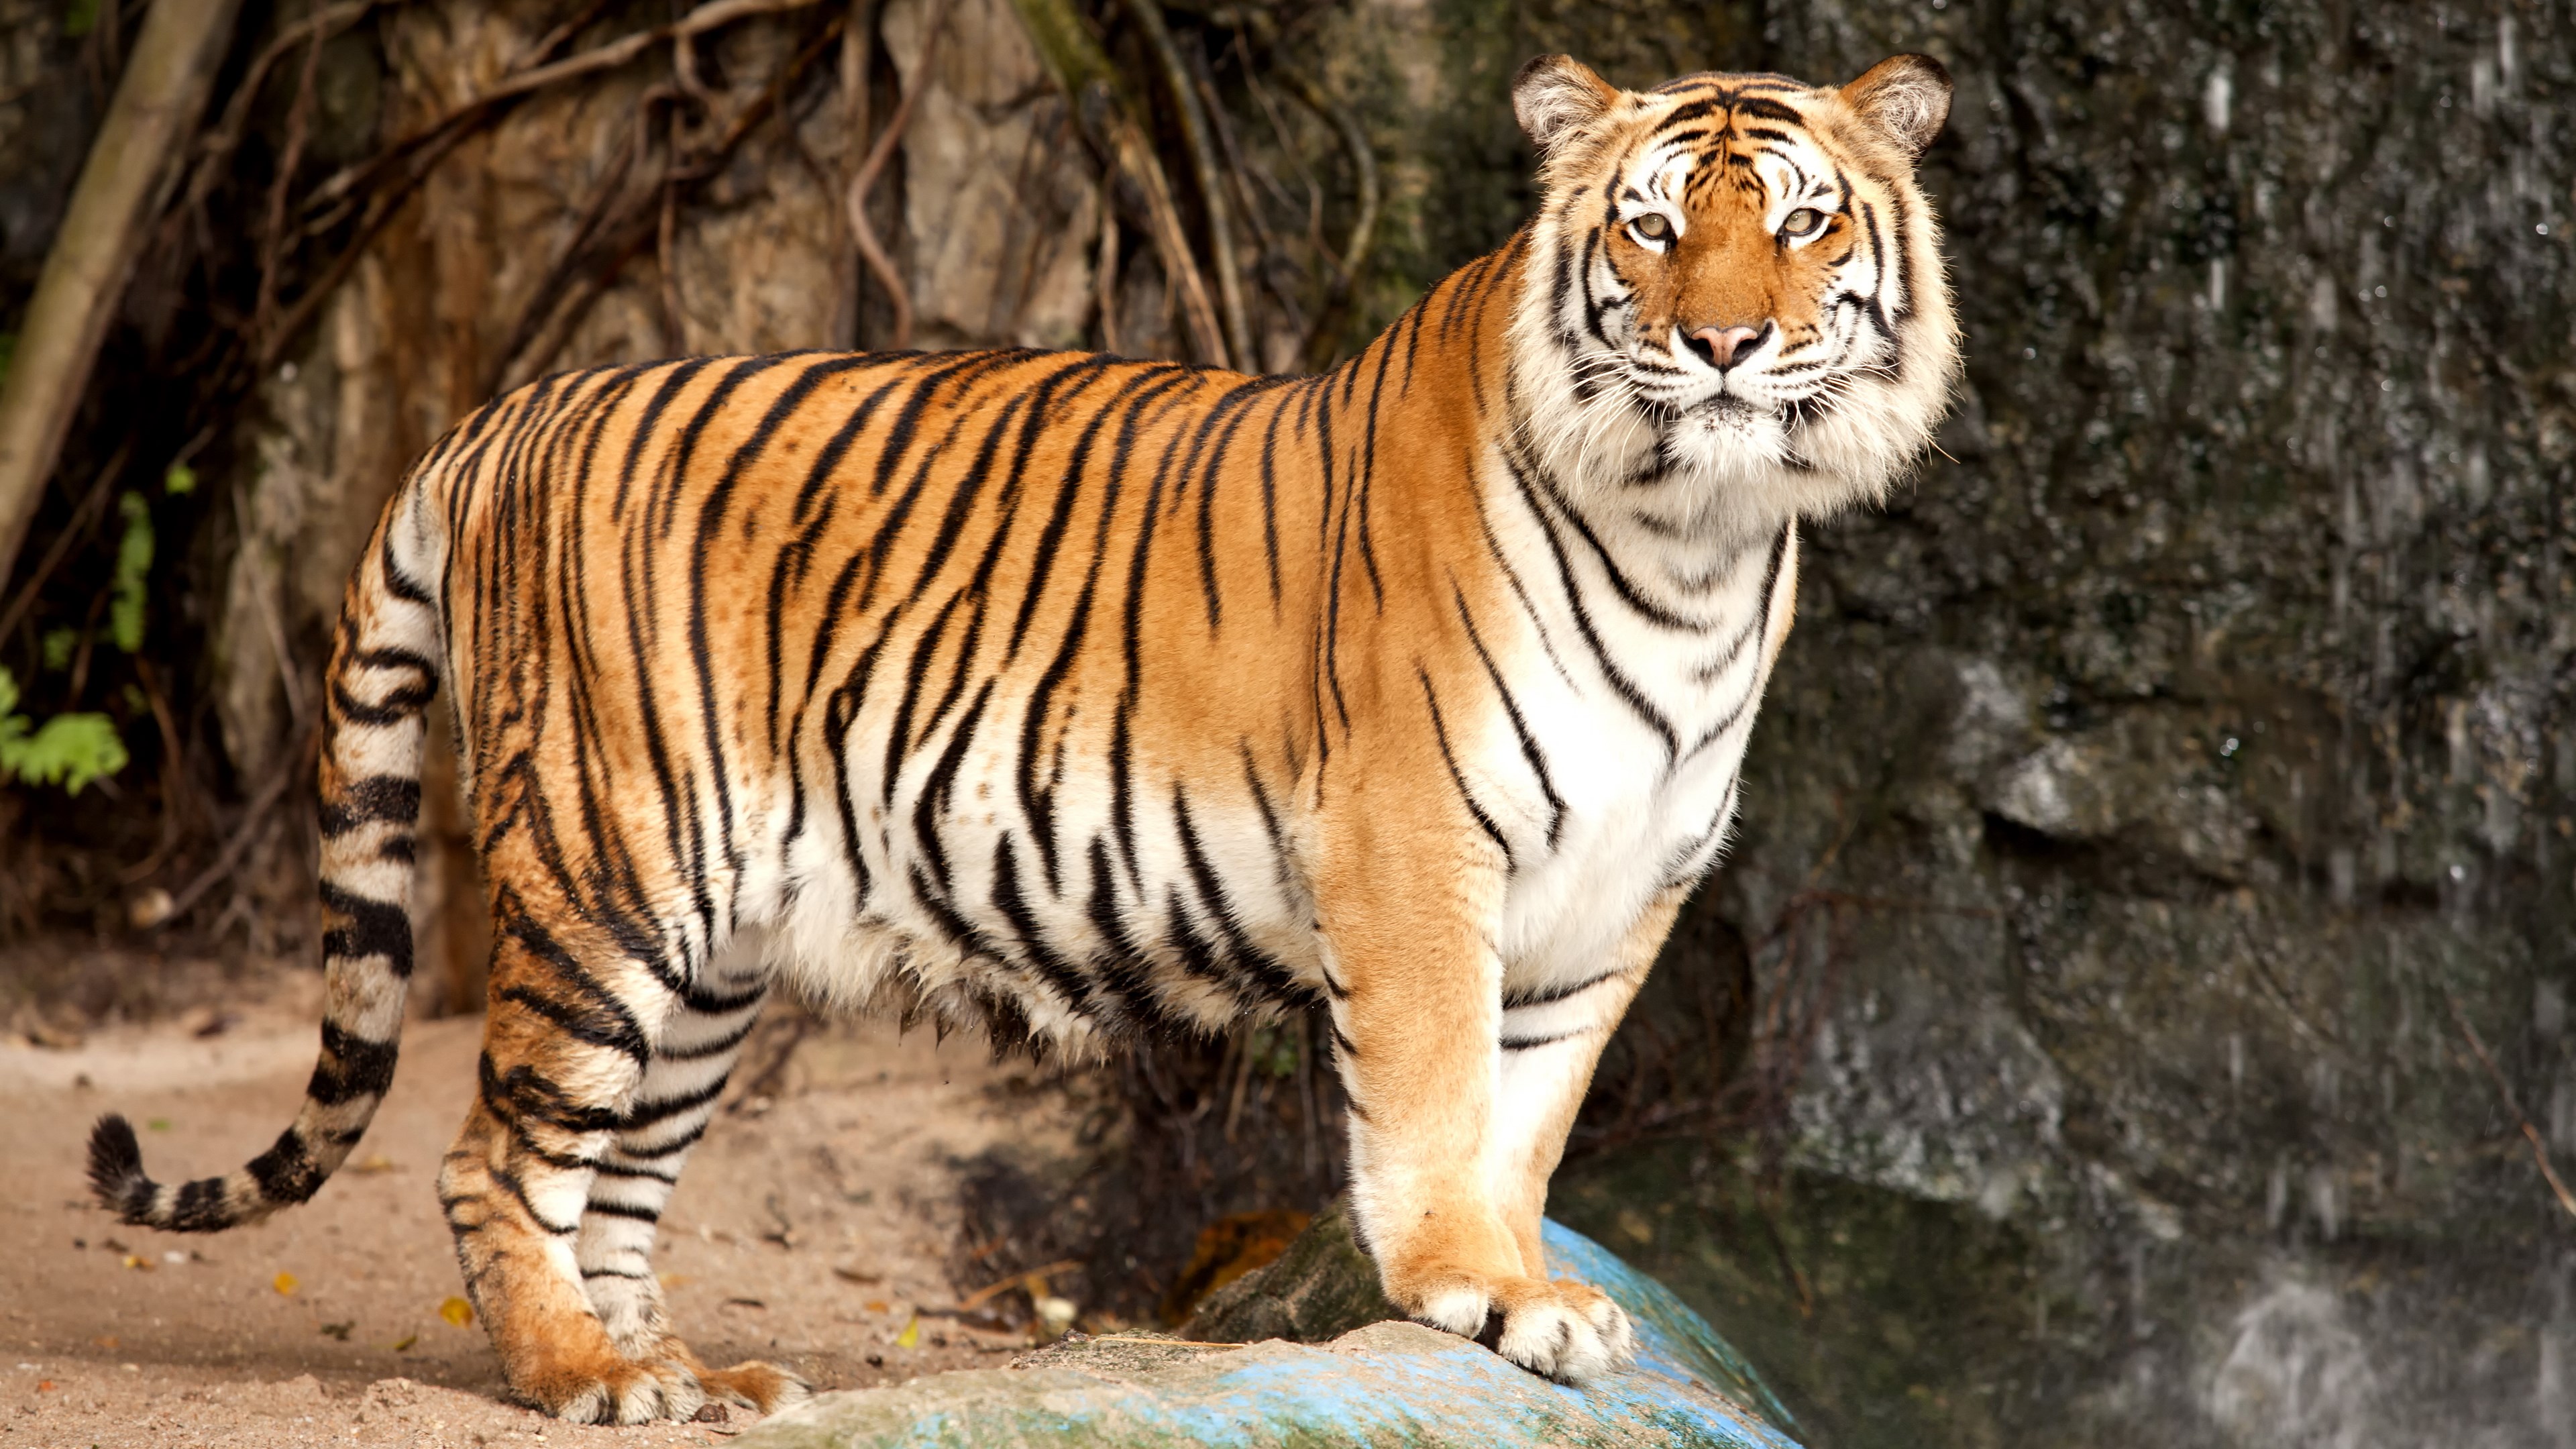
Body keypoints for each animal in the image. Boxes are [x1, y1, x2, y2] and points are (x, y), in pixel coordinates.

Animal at [87, 51, 1956, 1422]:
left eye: (1802, 225)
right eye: (1649, 229)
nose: (1724, 345)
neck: (1700, 537)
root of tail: (503, 413)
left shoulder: (1624, 885)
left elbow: (1530, 1114)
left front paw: (1525, 1288)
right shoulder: (1417, 843)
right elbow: (1435, 1094)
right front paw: (1472, 1287)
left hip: (713, 958)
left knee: (615, 1180)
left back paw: (679, 1373)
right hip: (609, 871)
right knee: (494, 1159)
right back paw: (577, 1378)